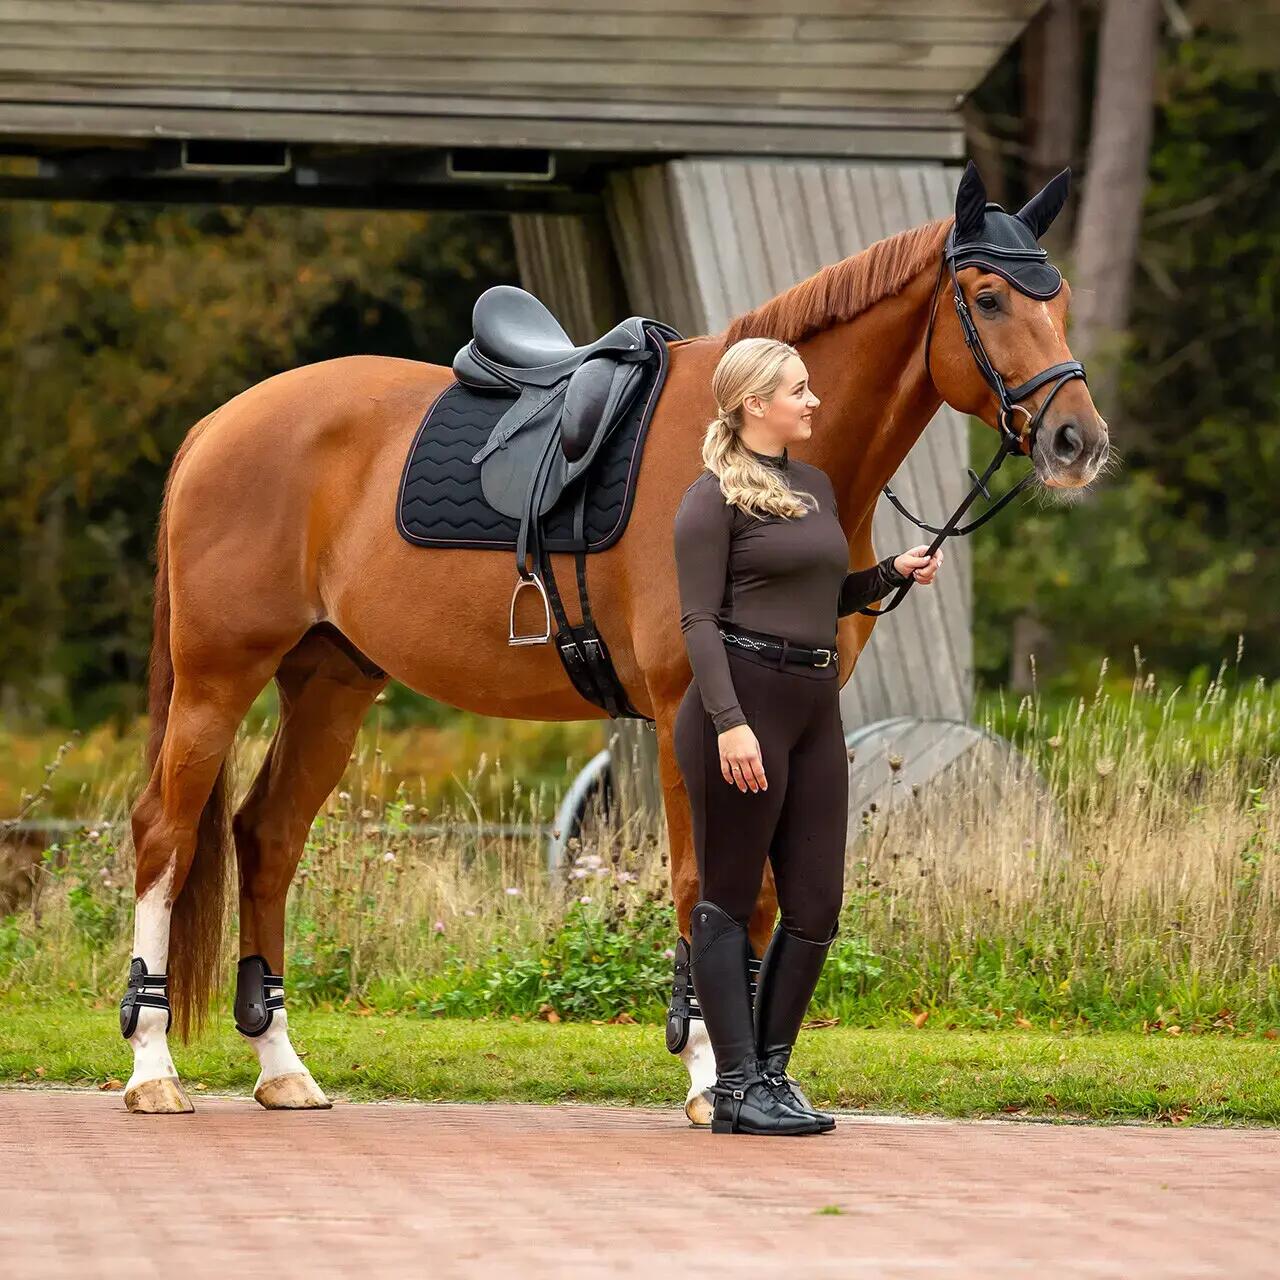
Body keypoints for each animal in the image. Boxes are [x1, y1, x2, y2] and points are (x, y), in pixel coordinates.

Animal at [119, 163, 1108, 1114]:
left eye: (1059, 299)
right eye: (988, 297)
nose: (1078, 441)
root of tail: (219, 424)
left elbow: (759, 896)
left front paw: (754, 1081)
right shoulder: (691, 714)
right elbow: (702, 883)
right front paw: (712, 1078)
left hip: (331, 683)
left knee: (267, 837)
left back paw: (282, 1067)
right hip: (217, 679)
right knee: (166, 835)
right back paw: (153, 1069)